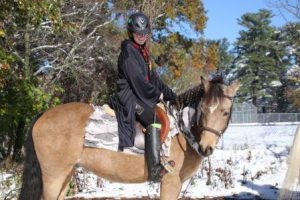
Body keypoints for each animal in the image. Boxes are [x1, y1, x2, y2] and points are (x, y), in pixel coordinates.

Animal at [18, 76, 239, 200]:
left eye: (226, 112)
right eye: (203, 109)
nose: (205, 147)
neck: (181, 129)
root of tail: (43, 115)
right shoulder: (170, 182)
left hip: (67, 174)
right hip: (53, 176)